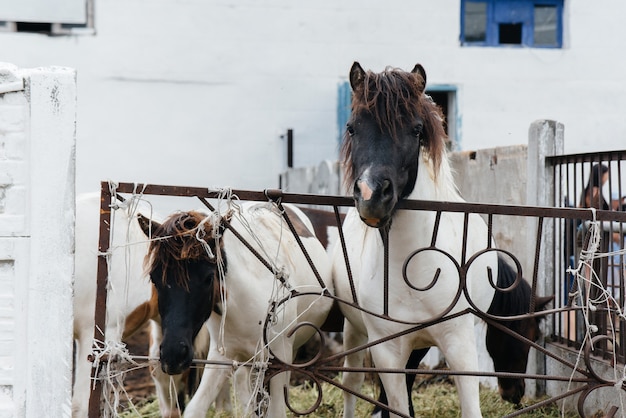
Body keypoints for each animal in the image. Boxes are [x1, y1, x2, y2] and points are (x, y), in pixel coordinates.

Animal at [142, 201, 334, 416]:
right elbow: (196, 408)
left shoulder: (278, 359)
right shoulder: (222, 355)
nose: (173, 355)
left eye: (209, 278)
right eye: (154, 279)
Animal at [332, 62, 544, 418]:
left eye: (416, 129)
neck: (415, 271)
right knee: (352, 385)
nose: (371, 195)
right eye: (351, 128)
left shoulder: (459, 346)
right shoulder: (388, 352)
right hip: (356, 332)